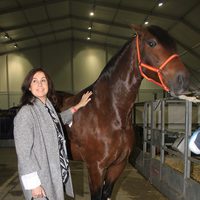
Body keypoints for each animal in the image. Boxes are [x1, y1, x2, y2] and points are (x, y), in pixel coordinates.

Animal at [60, 25, 190, 200]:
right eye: (152, 43)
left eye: (174, 45)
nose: (184, 79)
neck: (108, 112)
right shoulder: (96, 168)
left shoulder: (118, 166)